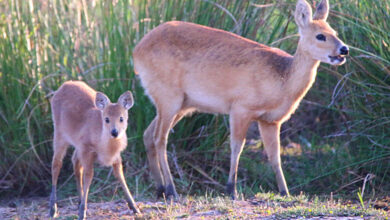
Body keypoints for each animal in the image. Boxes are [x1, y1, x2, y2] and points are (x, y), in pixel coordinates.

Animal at [48, 81, 140, 220]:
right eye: (106, 119)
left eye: (121, 118)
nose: (114, 132)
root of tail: (64, 85)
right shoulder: (87, 151)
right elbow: (89, 176)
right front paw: (82, 213)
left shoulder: (115, 156)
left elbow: (120, 175)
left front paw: (135, 208)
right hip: (59, 134)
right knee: (56, 164)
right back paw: (53, 209)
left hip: (76, 145)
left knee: (74, 162)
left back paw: (78, 202)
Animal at [133, 0, 348, 199]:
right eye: (320, 35)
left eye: (334, 31)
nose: (344, 49)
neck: (283, 79)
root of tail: (137, 51)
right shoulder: (240, 109)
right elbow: (237, 147)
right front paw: (232, 190)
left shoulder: (270, 120)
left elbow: (275, 156)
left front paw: (285, 192)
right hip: (169, 98)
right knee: (160, 139)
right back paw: (171, 190)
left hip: (181, 105)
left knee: (148, 135)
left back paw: (160, 189)